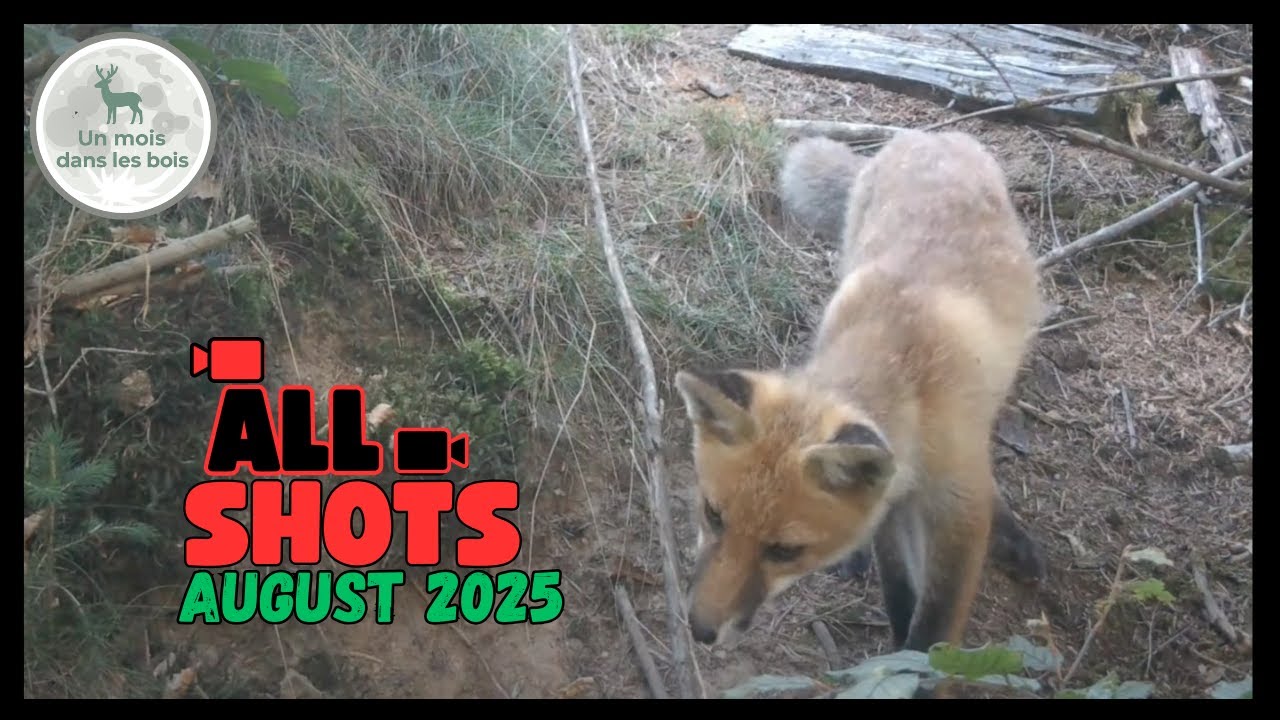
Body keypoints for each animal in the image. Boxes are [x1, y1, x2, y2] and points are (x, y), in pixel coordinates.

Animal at [675, 129, 1047, 652]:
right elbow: (898, 585)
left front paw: (918, 664)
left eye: (785, 550)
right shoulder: (890, 495)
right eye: (713, 515)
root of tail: (927, 135)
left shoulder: (957, 509)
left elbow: (936, 625)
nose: (701, 630)